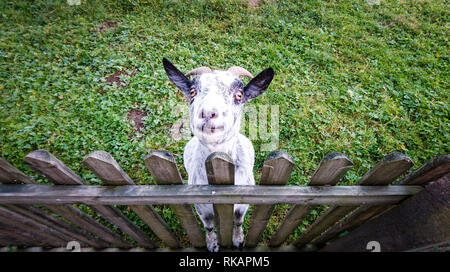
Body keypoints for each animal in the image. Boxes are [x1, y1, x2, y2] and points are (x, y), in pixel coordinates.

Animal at [162, 57, 274, 251]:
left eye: (239, 95)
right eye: (192, 92)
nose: (208, 113)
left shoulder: (242, 204)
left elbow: (238, 221)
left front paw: (238, 240)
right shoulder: (202, 208)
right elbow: (208, 226)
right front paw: (212, 244)